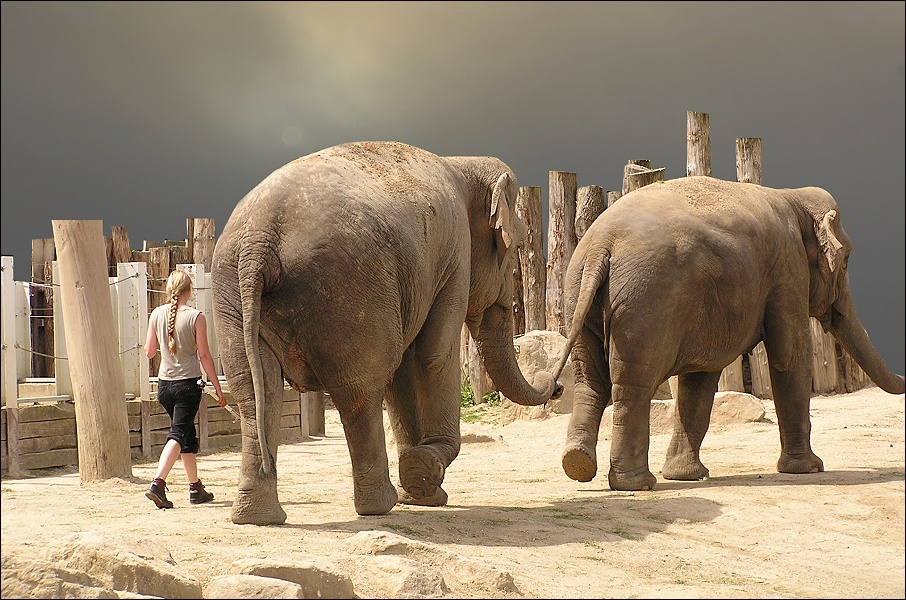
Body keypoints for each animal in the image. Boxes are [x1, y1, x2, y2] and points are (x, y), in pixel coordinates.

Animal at [212, 141, 560, 524]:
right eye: (517, 248)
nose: (556, 386)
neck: (461, 164)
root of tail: (259, 240)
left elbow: (404, 370)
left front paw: (423, 492)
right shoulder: (455, 253)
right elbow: (434, 353)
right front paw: (425, 470)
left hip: (232, 293)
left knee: (256, 390)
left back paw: (257, 516)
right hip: (348, 290)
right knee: (358, 388)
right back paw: (379, 505)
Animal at [536, 177, 904, 492]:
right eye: (847, 260)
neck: (792, 196)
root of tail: (602, 244)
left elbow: (699, 378)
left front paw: (687, 476)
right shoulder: (789, 269)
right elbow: (789, 357)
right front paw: (810, 468)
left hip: (579, 293)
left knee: (590, 380)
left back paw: (578, 464)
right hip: (646, 302)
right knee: (633, 384)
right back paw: (637, 484)